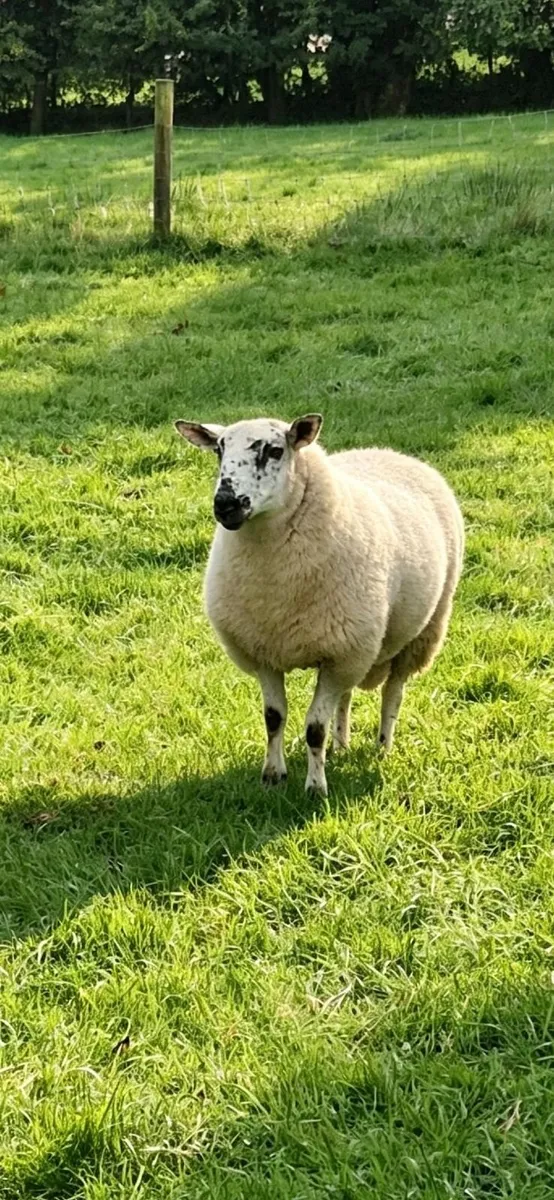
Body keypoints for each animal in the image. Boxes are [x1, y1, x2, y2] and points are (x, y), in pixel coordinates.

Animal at [175, 413, 464, 796]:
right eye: (218, 450)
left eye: (274, 450)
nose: (225, 504)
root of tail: (390, 452)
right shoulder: (268, 652)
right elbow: (273, 718)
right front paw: (273, 775)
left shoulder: (337, 656)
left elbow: (314, 728)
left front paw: (315, 787)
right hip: (358, 648)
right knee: (346, 696)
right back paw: (341, 744)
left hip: (418, 634)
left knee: (393, 692)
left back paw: (382, 747)